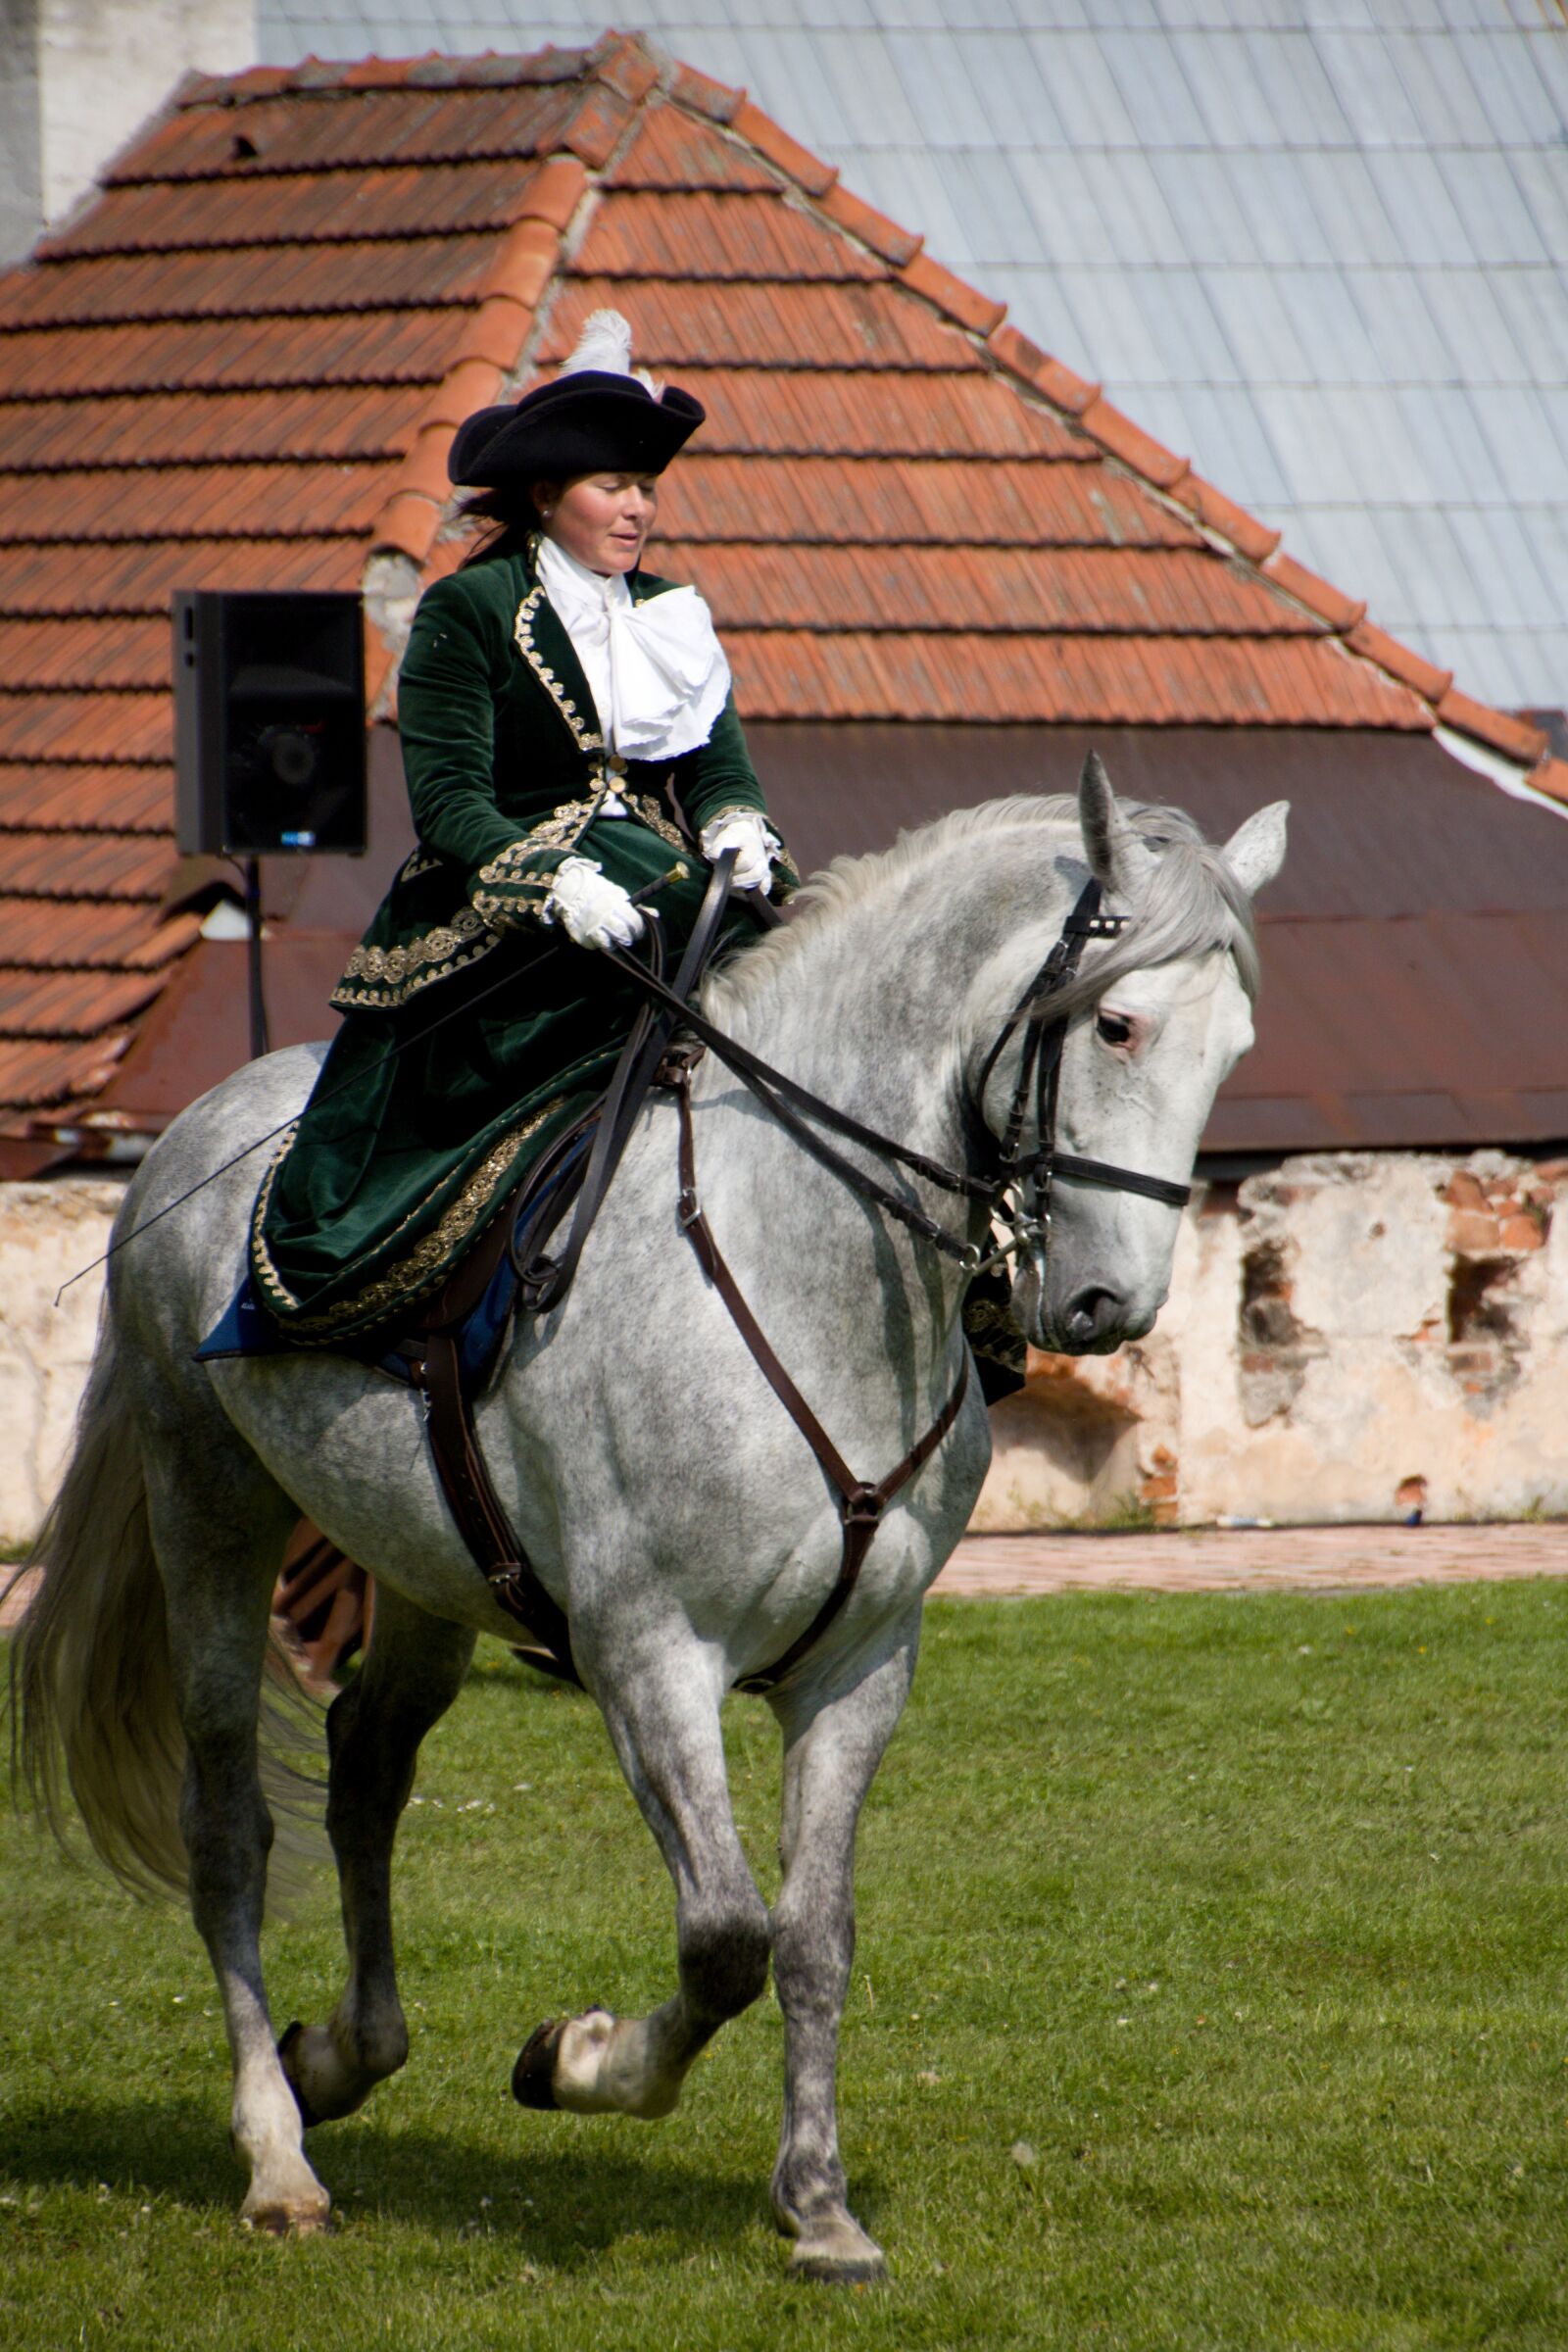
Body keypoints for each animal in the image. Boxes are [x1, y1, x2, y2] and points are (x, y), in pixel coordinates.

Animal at [10, 759, 1286, 2281]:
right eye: (1115, 1021)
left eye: (1235, 1048)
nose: (1110, 1307)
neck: (800, 1261)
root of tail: (188, 1142)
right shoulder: (649, 1657)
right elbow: (726, 1935)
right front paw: (579, 2061)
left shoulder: (861, 1668)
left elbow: (813, 1935)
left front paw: (819, 2207)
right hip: (209, 1512)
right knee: (228, 1829)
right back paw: (276, 2153)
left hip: (420, 1570)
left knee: (367, 1766)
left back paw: (342, 2060)